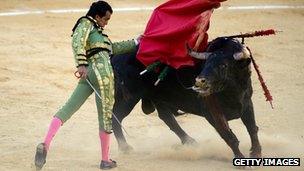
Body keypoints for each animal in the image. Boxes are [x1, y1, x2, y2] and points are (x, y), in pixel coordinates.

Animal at [109, 37, 262, 159]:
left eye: (224, 65)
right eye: (206, 63)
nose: (200, 81)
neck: (231, 91)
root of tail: (115, 56)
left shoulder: (247, 103)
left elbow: (252, 128)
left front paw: (256, 152)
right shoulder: (211, 111)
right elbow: (228, 135)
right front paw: (240, 158)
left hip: (158, 97)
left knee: (166, 117)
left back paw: (190, 142)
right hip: (128, 98)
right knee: (116, 117)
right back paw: (125, 147)